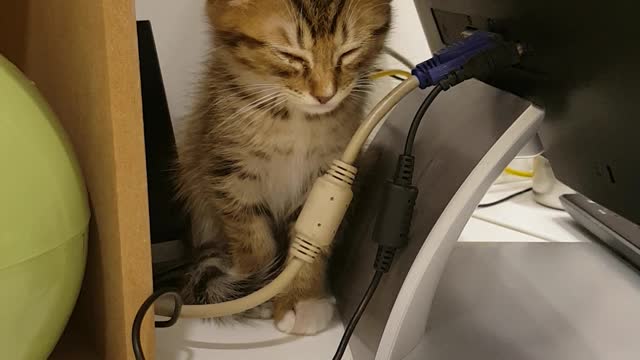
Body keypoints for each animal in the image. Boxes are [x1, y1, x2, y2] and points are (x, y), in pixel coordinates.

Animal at [178, 0, 392, 334]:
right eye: (289, 55)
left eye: (349, 52)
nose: (325, 95)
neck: (295, 119)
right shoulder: (229, 169)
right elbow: (251, 236)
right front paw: (256, 290)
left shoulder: (325, 172)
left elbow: (309, 243)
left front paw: (302, 298)